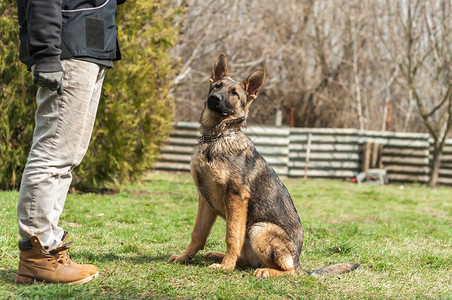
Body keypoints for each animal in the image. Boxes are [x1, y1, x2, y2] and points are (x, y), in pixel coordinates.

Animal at [168, 54, 358, 278]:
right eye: (216, 86)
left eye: (234, 93)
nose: (214, 98)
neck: (215, 138)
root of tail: (300, 263)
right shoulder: (205, 199)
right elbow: (197, 233)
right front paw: (184, 257)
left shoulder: (236, 197)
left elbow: (232, 235)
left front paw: (226, 266)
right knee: (246, 260)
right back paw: (216, 255)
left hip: (258, 229)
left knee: (288, 270)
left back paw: (264, 270)